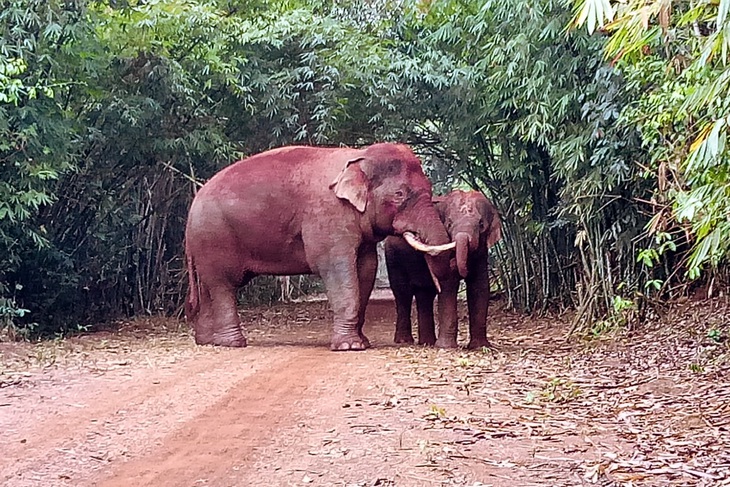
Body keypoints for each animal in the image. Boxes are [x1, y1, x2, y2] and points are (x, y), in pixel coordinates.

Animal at [183, 143, 456, 352]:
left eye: (429, 190)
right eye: (399, 194)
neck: (360, 157)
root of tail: (192, 207)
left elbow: (366, 268)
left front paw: (362, 342)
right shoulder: (328, 214)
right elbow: (337, 268)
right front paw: (349, 347)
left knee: (208, 287)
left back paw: (207, 341)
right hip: (214, 236)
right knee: (223, 284)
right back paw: (233, 343)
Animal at [382, 192, 500, 350]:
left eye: (481, 225)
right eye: (448, 224)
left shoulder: (482, 253)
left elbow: (479, 287)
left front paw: (480, 347)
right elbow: (448, 284)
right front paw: (446, 347)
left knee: (425, 294)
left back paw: (427, 342)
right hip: (393, 256)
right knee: (403, 293)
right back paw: (405, 341)